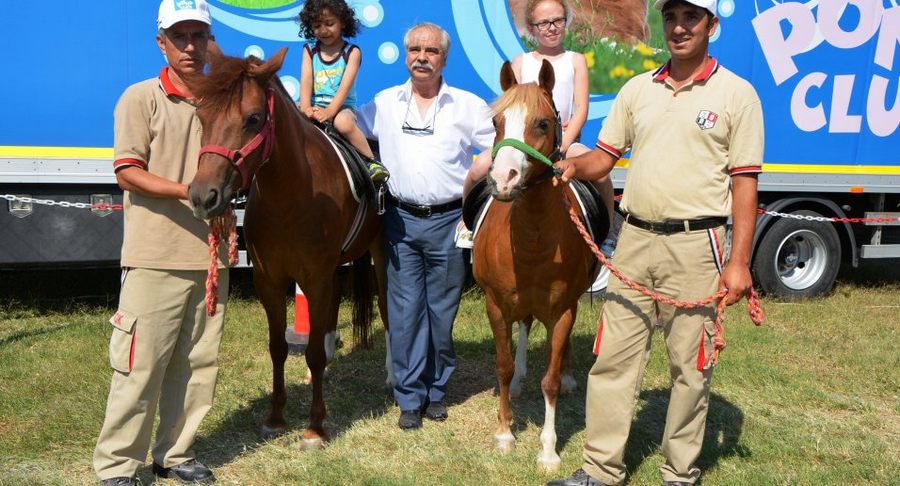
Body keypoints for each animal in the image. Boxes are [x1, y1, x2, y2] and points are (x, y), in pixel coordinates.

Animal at [188, 49, 384, 448]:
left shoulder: (315, 277)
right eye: (202, 115)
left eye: (253, 118)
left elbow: (310, 352)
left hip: (381, 254)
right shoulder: (270, 280)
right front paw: (276, 418)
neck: (291, 195)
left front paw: (315, 425)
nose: (203, 196)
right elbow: (278, 347)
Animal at [472, 60, 604, 470]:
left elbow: (551, 381)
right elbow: (502, 365)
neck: (531, 240)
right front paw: (504, 433)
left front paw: (548, 450)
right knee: (526, 328)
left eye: (543, 123)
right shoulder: (496, 305)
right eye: (497, 122)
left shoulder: (562, 310)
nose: (503, 179)